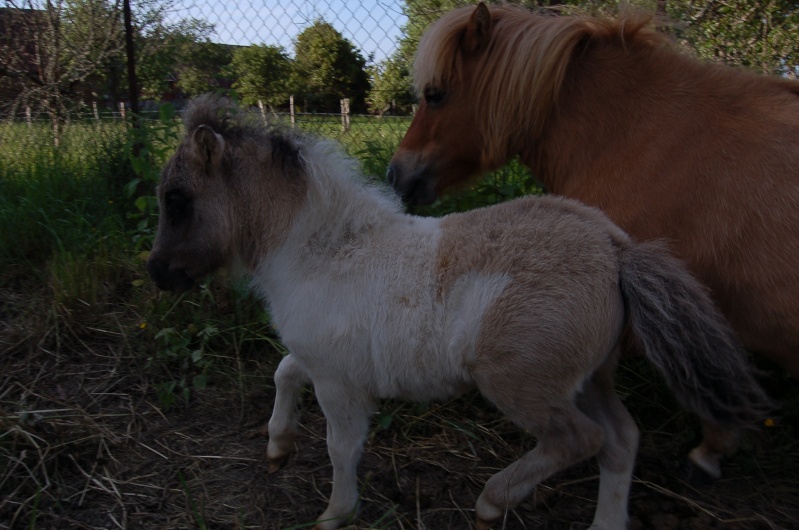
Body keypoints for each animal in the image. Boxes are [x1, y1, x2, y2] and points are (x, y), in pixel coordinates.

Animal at [147, 96, 772, 528]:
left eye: (178, 199)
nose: (157, 273)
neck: (323, 251)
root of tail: (616, 248)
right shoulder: (323, 360)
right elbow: (283, 372)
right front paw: (278, 445)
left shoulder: (339, 382)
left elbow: (341, 448)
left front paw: (335, 513)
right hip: (590, 377)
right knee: (620, 440)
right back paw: (603, 523)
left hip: (520, 382)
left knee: (580, 440)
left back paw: (492, 502)